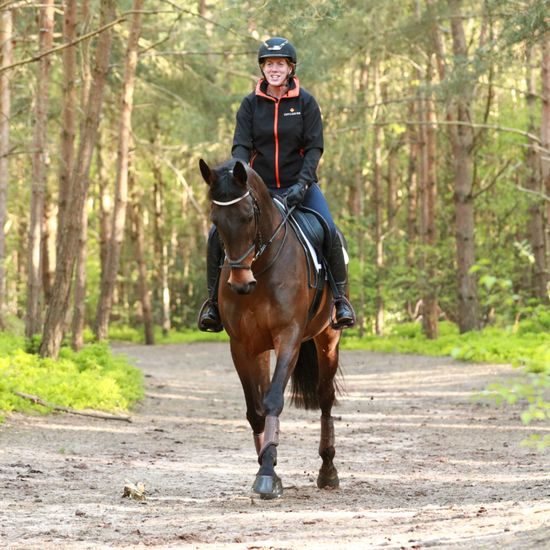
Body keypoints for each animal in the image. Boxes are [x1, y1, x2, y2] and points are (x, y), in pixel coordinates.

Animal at [198, 158, 344, 500]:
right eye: (215, 220)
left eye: (248, 216)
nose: (240, 283)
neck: (262, 270)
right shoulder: (241, 345)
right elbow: (256, 411)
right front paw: (267, 466)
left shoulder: (288, 336)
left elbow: (274, 399)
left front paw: (266, 474)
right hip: (261, 350)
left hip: (328, 339)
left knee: (325, 398)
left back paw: (328, 471)